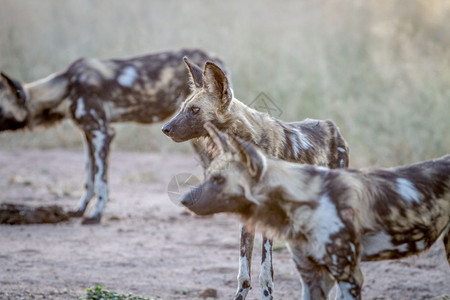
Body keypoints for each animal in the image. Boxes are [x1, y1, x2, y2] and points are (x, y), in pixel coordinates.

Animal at [0, 48, 225, 223]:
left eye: (0, 110)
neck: (66, 86)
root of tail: (214, 57)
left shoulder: (102, 133)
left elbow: (100, 181)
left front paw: (95, 215)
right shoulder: (88, 135)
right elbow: (89, 178)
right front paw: (79, 210)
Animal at [163, 58, 352, 300]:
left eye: (195, 110)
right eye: (182, 108)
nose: (165, 129)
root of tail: (333, 127)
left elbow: (265, 272)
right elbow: (244, 273)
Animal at [182, 122, 450, 300]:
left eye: (219, 180)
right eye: (208, 175)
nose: (185, 199)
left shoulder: (346, 275)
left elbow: (264, 274)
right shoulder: (312, 277)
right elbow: (244, 273)